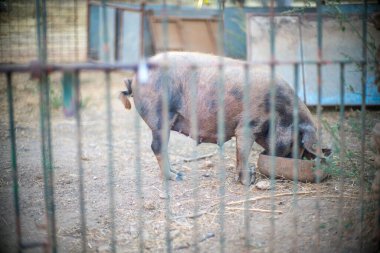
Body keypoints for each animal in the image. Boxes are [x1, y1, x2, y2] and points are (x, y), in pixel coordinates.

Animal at [120, 52, 320, 186]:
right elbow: (244, 152)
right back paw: (175, 177)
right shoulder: (247, 125)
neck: (279, 110)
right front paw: (249, 182)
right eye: (296, 142)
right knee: (157, 147)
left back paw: (178, 174)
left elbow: (240, 154)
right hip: (159, 117)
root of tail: (134, 79)